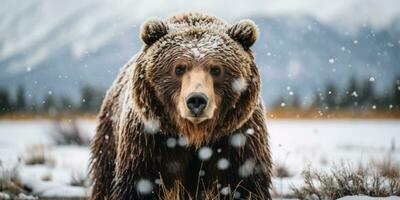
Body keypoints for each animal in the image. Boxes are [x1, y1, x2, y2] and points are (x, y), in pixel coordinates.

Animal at [89, 12, 274, 198]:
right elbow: (140, 184)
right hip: (109, 138)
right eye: (179, 68)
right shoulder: (148, 141)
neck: (194, 134)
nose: (197, 100)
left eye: (216, 69)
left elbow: (245, 185)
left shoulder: (238, 140)